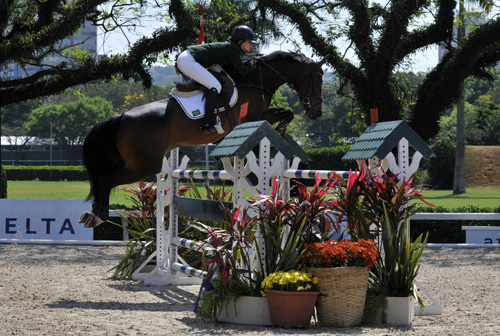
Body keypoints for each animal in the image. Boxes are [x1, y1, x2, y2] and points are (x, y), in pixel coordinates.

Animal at [80, 50, 326, 228]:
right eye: (317, 80)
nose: (317, 113)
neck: (255, 80)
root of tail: (120, 116)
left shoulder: (260, 116)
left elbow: (285, 112)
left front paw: (282, 129)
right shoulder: (253, 118)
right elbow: (285, 113)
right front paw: (281, 129)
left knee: (102, 179)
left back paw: (91, 215)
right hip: (144, 165)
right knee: (105, 179)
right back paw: (98, 215)